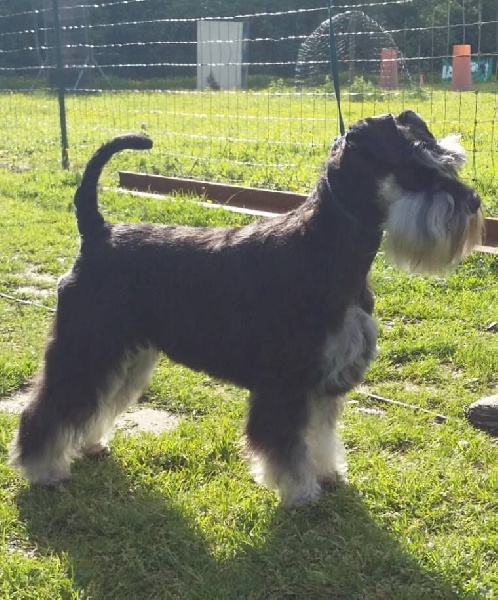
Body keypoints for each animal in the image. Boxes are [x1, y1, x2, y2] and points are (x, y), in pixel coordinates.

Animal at [9, 111, 484, 505]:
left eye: (447, 161)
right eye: (415, 167)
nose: (474, 203)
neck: (325, 244)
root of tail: (97, 233)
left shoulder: (324, 378)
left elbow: (320, 433)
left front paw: (328, 473)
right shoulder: (286, 379)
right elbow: (286, 443)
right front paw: (300, 492)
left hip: (127, 355)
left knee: (96, 401)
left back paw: (88, 443)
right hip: (86, 348)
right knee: (48, 407)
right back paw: (42, 468)